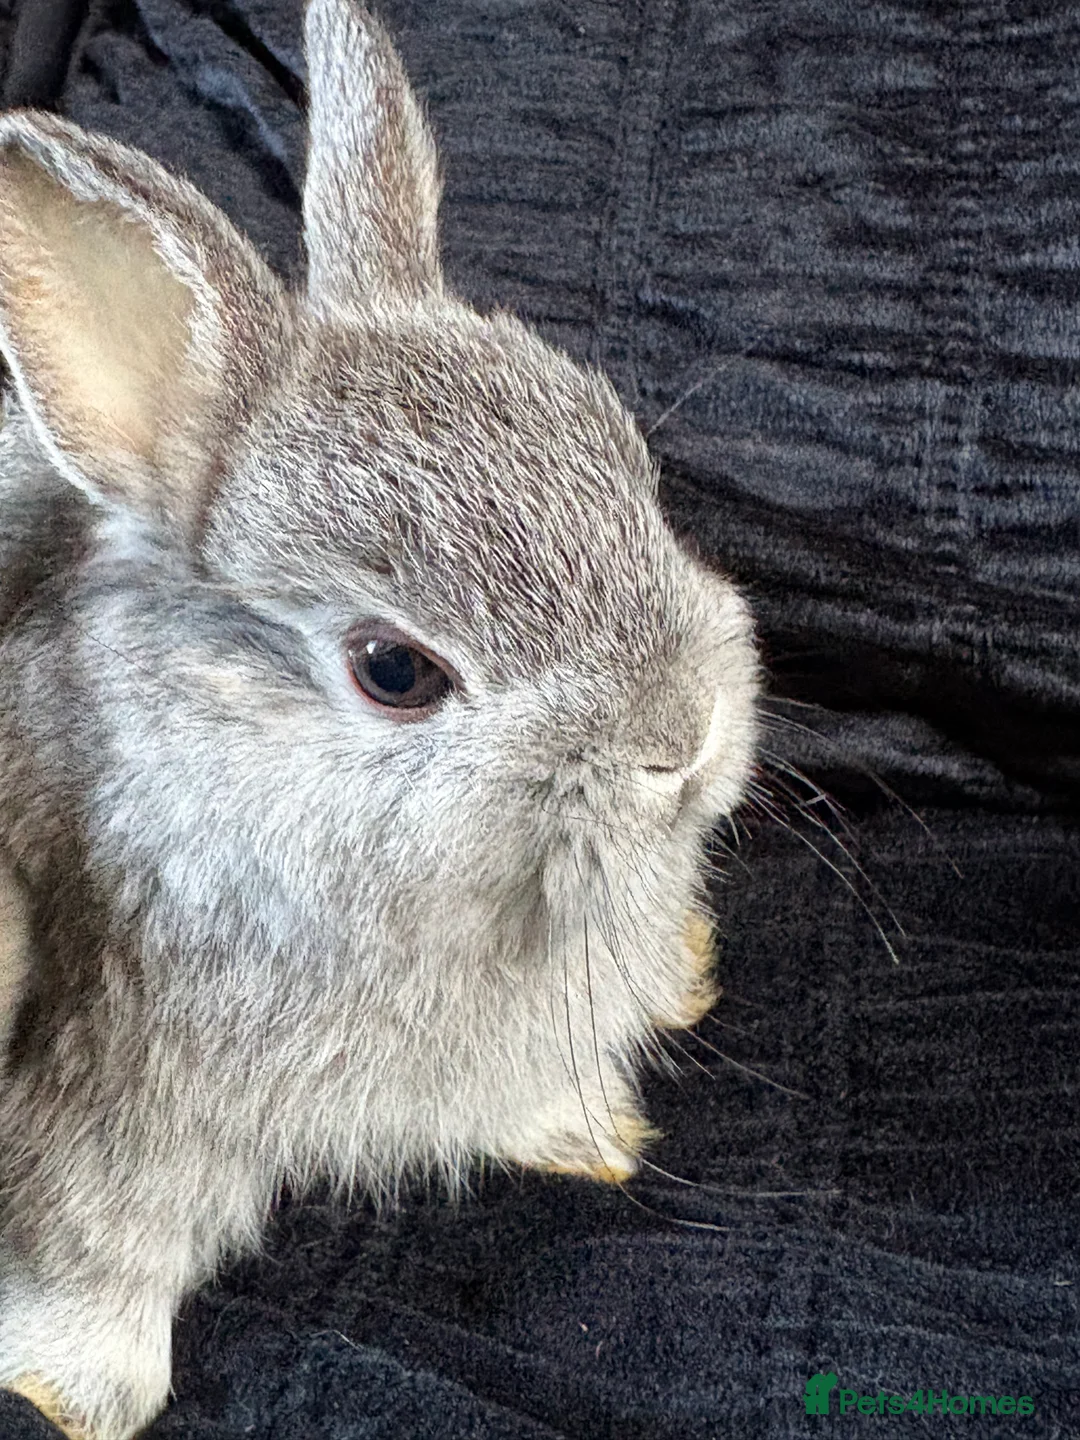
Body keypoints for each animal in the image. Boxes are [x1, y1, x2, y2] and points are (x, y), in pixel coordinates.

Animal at [0, 1, 760, 1436]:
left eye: (631, 472)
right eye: (395, 671)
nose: (679, 741)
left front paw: (592, 1137)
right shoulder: (111, 1097)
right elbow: (96, 1245)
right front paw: (77, 1393)